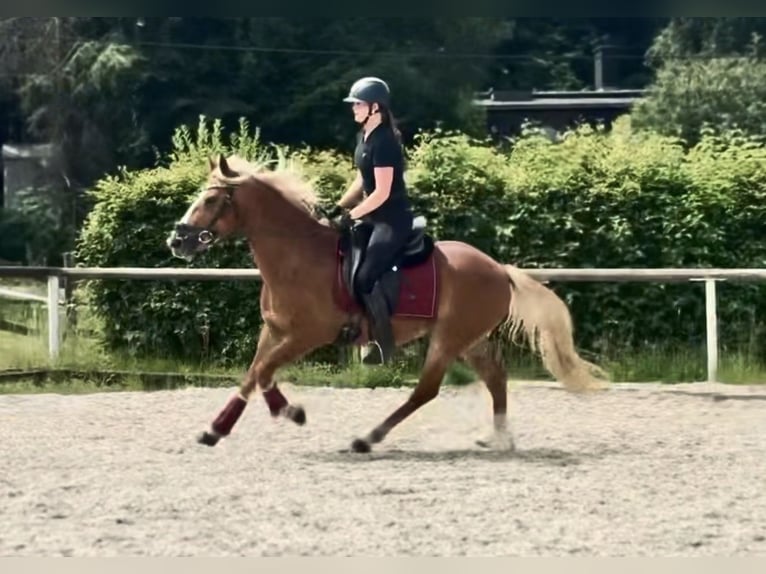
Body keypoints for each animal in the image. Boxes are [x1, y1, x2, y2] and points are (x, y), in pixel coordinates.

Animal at [166, 153, 609, 453]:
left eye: (210, 201)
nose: (177, 240)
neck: (296, 257)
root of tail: (499, 268)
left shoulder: (307, 334)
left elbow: (262, 373)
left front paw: (290, 413)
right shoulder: (274, 330)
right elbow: (254, 373)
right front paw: (218, 428)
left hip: (448, 339)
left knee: (426, 390)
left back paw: (368, 438)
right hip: (469, 339)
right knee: (496, 377)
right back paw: (498, 438)